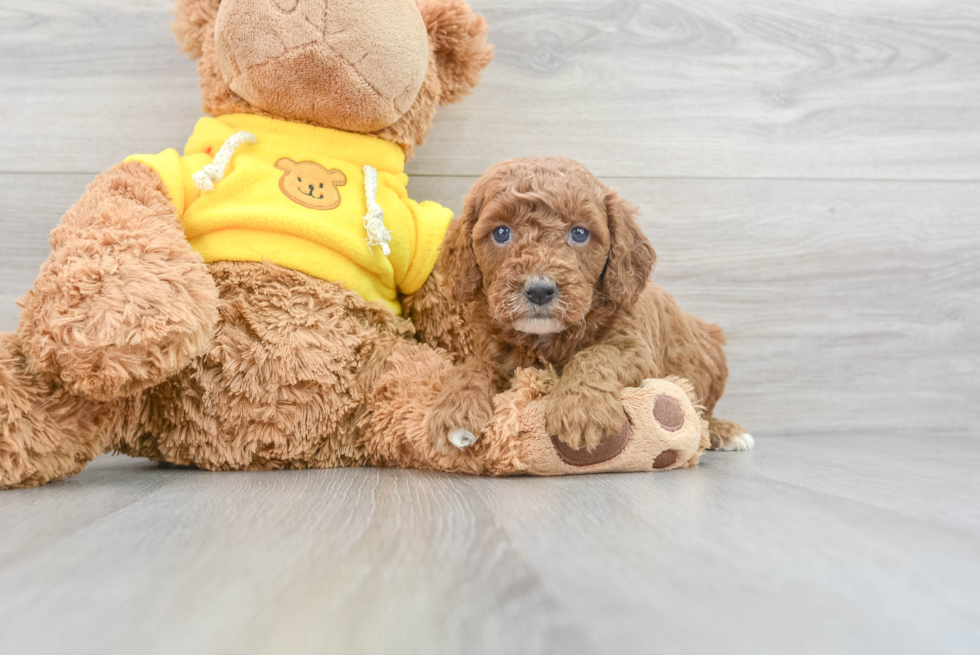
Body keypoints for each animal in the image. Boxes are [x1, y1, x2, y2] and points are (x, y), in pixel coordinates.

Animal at [426, 160, 752, 456]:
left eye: (580, 233)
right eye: (501, 233)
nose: (540, 289)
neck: (546, 338)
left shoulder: (635, 348)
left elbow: (596, 355)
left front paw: (580, 411)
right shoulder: (497, 353)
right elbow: (474, 367)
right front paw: (453, 409)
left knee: (702, 412)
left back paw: (726, 432)